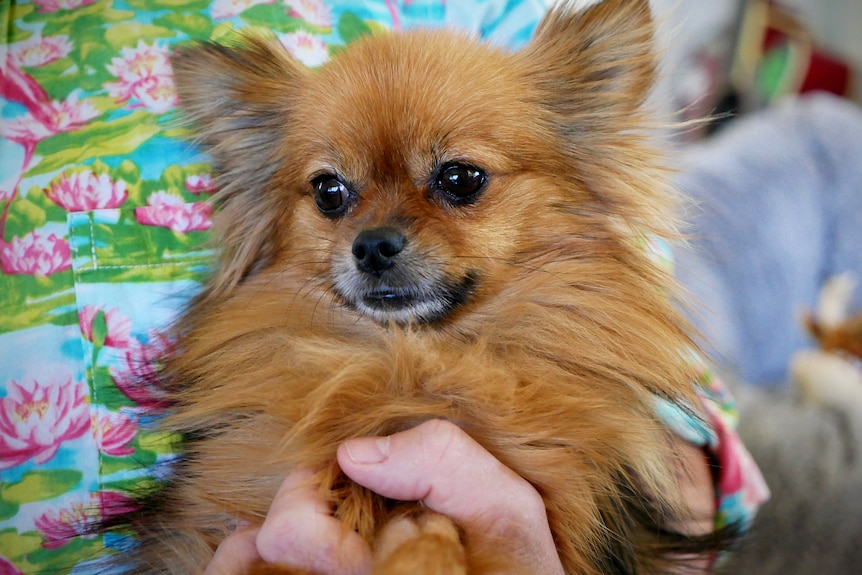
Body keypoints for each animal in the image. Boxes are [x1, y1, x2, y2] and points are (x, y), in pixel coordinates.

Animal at [125, 0, 740, 572]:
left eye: (460, 178)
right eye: (328, 192)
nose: (372, 244)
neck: (412, 360)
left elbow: (431, 520)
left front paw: (423, 555)